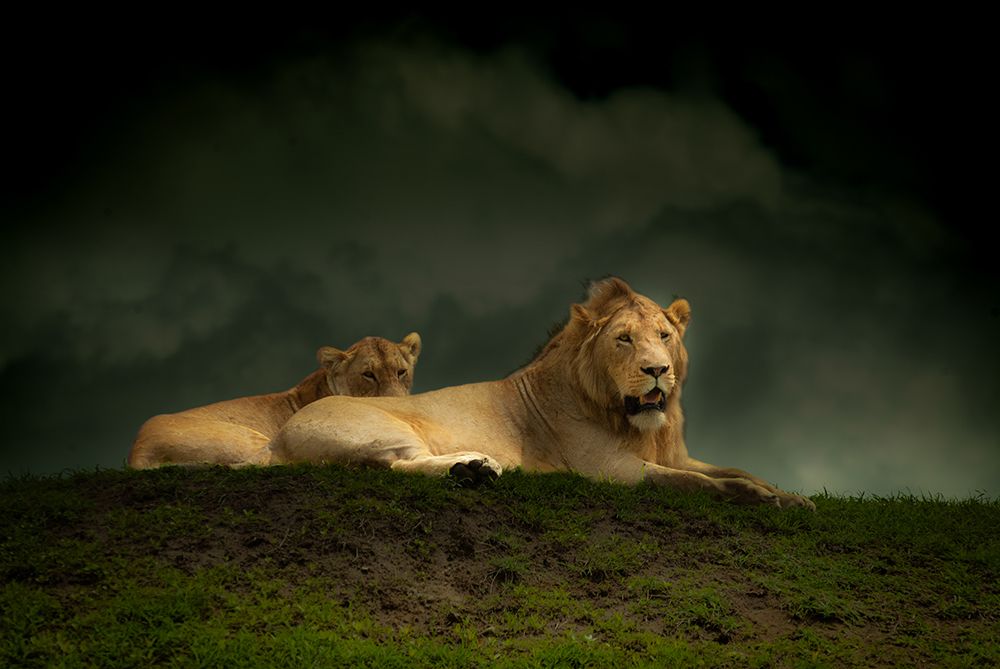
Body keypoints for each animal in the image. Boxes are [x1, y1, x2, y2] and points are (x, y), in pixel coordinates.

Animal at [269, 280, 814, 509]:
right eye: (623, 339)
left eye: (663, 335)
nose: (657, 370)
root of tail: (280, 433)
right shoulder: (612, 471)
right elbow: (697, 483)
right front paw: (759, 499)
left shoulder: (677, 454)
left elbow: (737, 468)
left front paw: (791, 497)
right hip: (383, 428)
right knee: (397, 466)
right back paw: (476, 467)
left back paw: (474, 470)